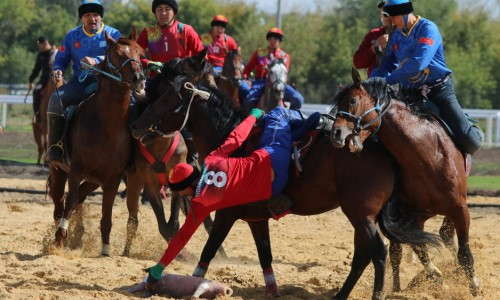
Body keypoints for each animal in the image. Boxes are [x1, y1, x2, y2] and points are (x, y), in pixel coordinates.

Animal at [48, 29, 146, 255]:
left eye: (139, 53)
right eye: (118, 54)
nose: (139, 78)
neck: (107, 126)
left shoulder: (113, 178)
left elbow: (106, 215)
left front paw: (105, 249)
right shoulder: (76, 169)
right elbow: (70, 201)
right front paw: (59, 237)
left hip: (94, 179)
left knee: (80, 197)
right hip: (59, 170)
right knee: (60, 199)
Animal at [130, 78, 442, 298]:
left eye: (168, 98)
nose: (136, 124)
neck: (231, 140)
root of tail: (383, 152)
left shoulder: (225, 214)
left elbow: (207, 252)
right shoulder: (256, 220)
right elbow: (265, 256)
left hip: (361, 215)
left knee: (377, 253)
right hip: (362, 217)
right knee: (362, 255)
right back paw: (340, 296)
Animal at [330, 68, 478, 296]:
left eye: (353, 100)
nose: (335, 133)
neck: (428, 156)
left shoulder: (460, 208)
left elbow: (464, 254)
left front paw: (473, 288)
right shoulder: (409, 215)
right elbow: (415, 248)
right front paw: (435, 278)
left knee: (446, 236)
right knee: (404, 249)